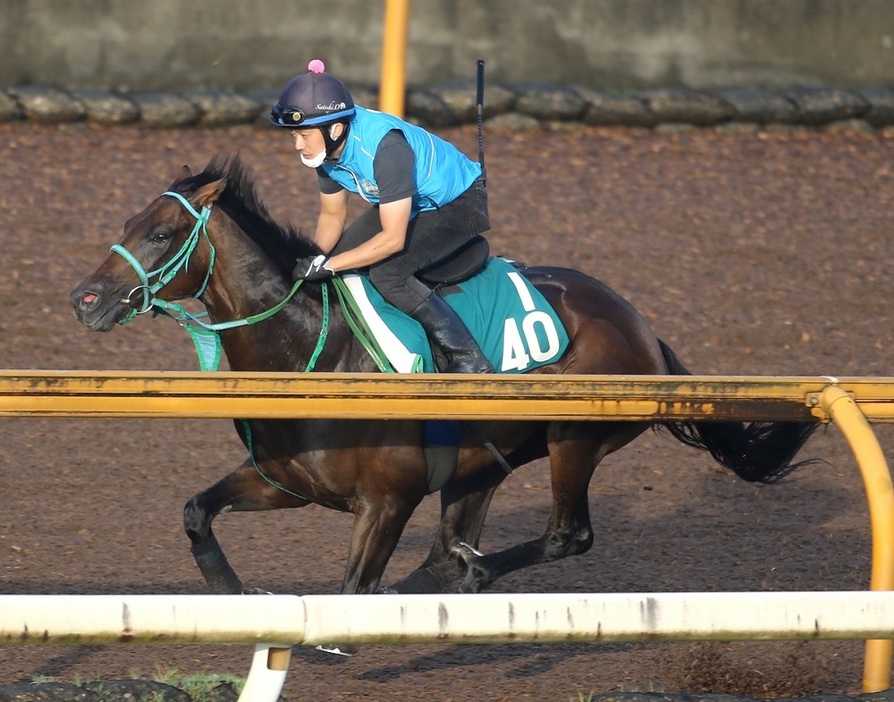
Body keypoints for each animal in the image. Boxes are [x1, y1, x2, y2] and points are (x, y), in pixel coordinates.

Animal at [70, 157, 820, 604]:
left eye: (162, 233)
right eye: (129, 222)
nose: (84, 298)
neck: (315, 353)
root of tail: (640, 324)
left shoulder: (386, 501)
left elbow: (352, 593)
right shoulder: (287, 482)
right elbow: (197, 511)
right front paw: (232, 593)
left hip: (573, 439)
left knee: (566, 536)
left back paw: (476, 569)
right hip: (482, 462)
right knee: (451, 543)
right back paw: (455, 571)